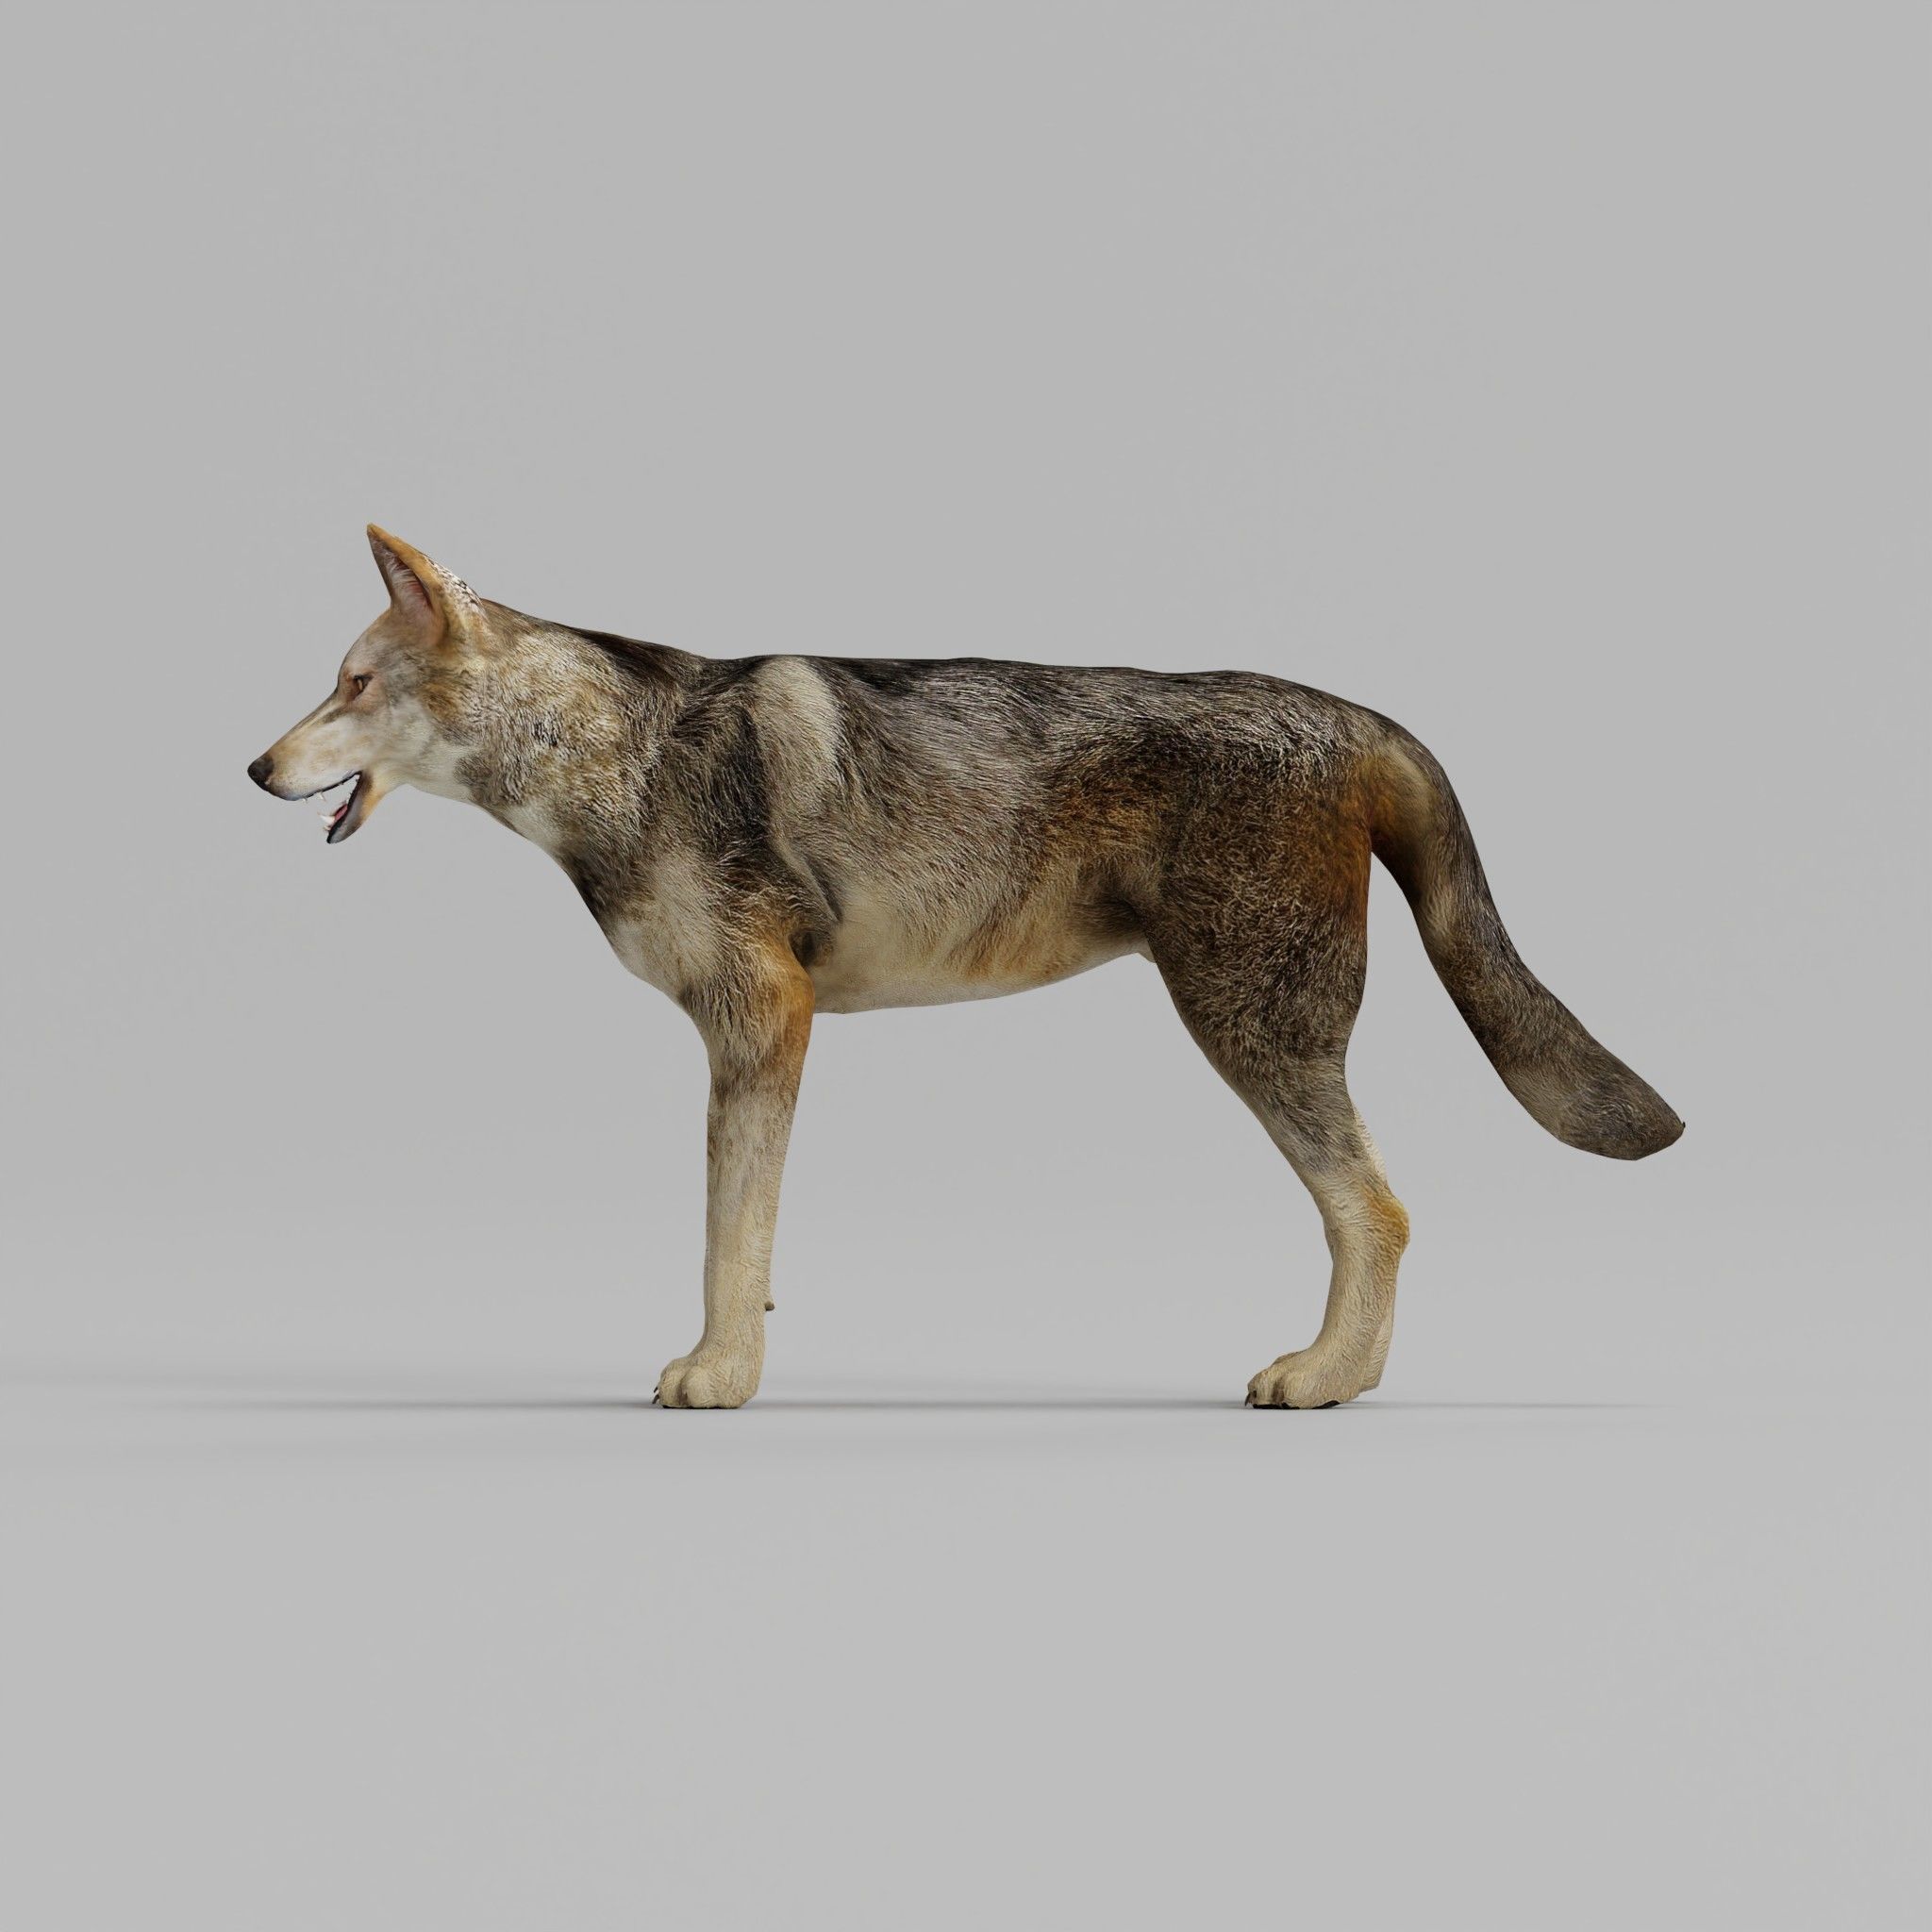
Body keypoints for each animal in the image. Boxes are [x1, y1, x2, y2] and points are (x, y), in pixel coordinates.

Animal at [249, 528, 1682, 1408]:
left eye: (353, 683)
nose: (254, 767)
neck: (618, 754)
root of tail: (1356, 716)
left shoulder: (763, 1021)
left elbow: (726, 1232)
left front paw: (717, 1376)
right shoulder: (755, 1038)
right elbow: (745, 1240)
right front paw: (744, 1350)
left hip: (1250, 1030)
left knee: (1377, 1209)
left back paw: (1325, 1379)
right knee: (1377, 1210)